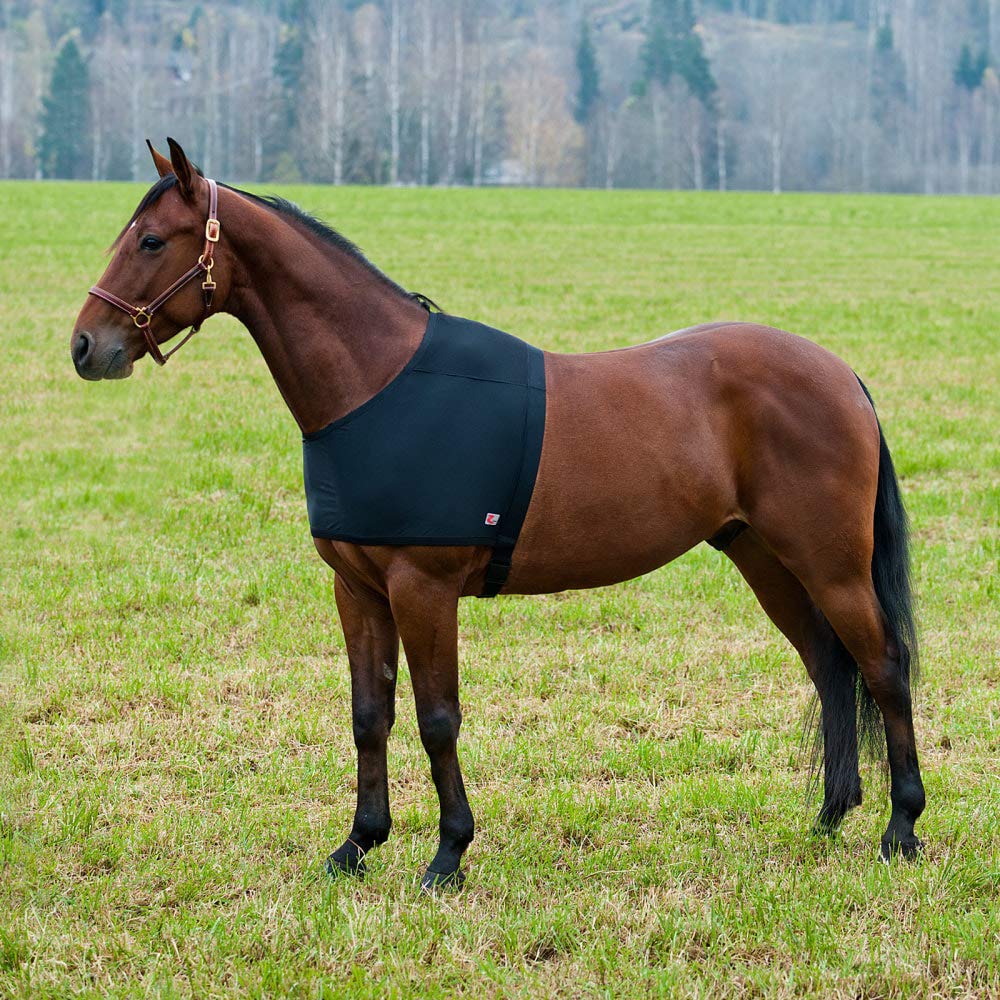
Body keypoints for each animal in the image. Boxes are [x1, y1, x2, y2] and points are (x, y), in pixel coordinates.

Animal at [71, 139, 925, 889]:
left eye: (153, 240)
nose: (85, 346)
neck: (377, 380)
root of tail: (842, 375)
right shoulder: (358, 589)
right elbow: (369, 715)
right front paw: (358, 844)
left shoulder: (423, 588)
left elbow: (436, 718)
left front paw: (448, 855)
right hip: (765, 559)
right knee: (828, 668)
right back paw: (830, 816)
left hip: (831, 566)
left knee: (883, 668)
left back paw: (902, 828)